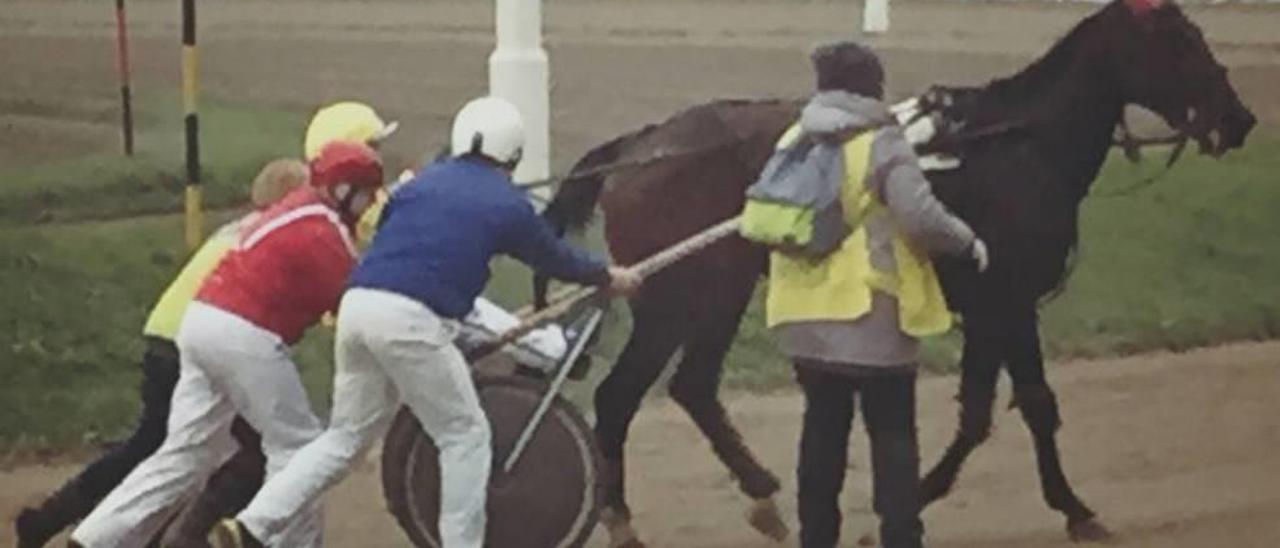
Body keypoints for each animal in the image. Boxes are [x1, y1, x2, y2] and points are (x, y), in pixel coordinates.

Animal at [535, 2, 1254, 545]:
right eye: (1182, 42)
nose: (1241, 119)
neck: (1018, 144)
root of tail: (643, 142)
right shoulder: (1009, 302)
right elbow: (1033, 405)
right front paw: (1073, 509)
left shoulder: (993, 307)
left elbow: (981, 413)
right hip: (680, 296)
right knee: (620, 397)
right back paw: (624, 519)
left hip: (719, 292)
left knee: (692, 387)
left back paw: (762, 495)